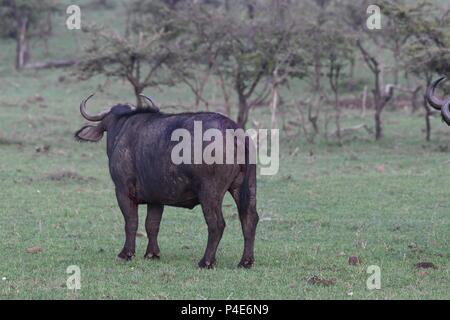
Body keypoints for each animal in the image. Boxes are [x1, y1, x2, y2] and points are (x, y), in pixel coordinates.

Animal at [75, 94, 258, 268]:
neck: (122, 127)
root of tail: (233, 130)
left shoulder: (123, 192)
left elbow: (131, 222)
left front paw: (126, 254)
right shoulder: (156, 199)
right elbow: (152, 224)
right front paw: (152, 254)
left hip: (210, 193)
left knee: (217, 224)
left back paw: (206, 261)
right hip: (246, 187)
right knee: (249, 218)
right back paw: (245, 262)